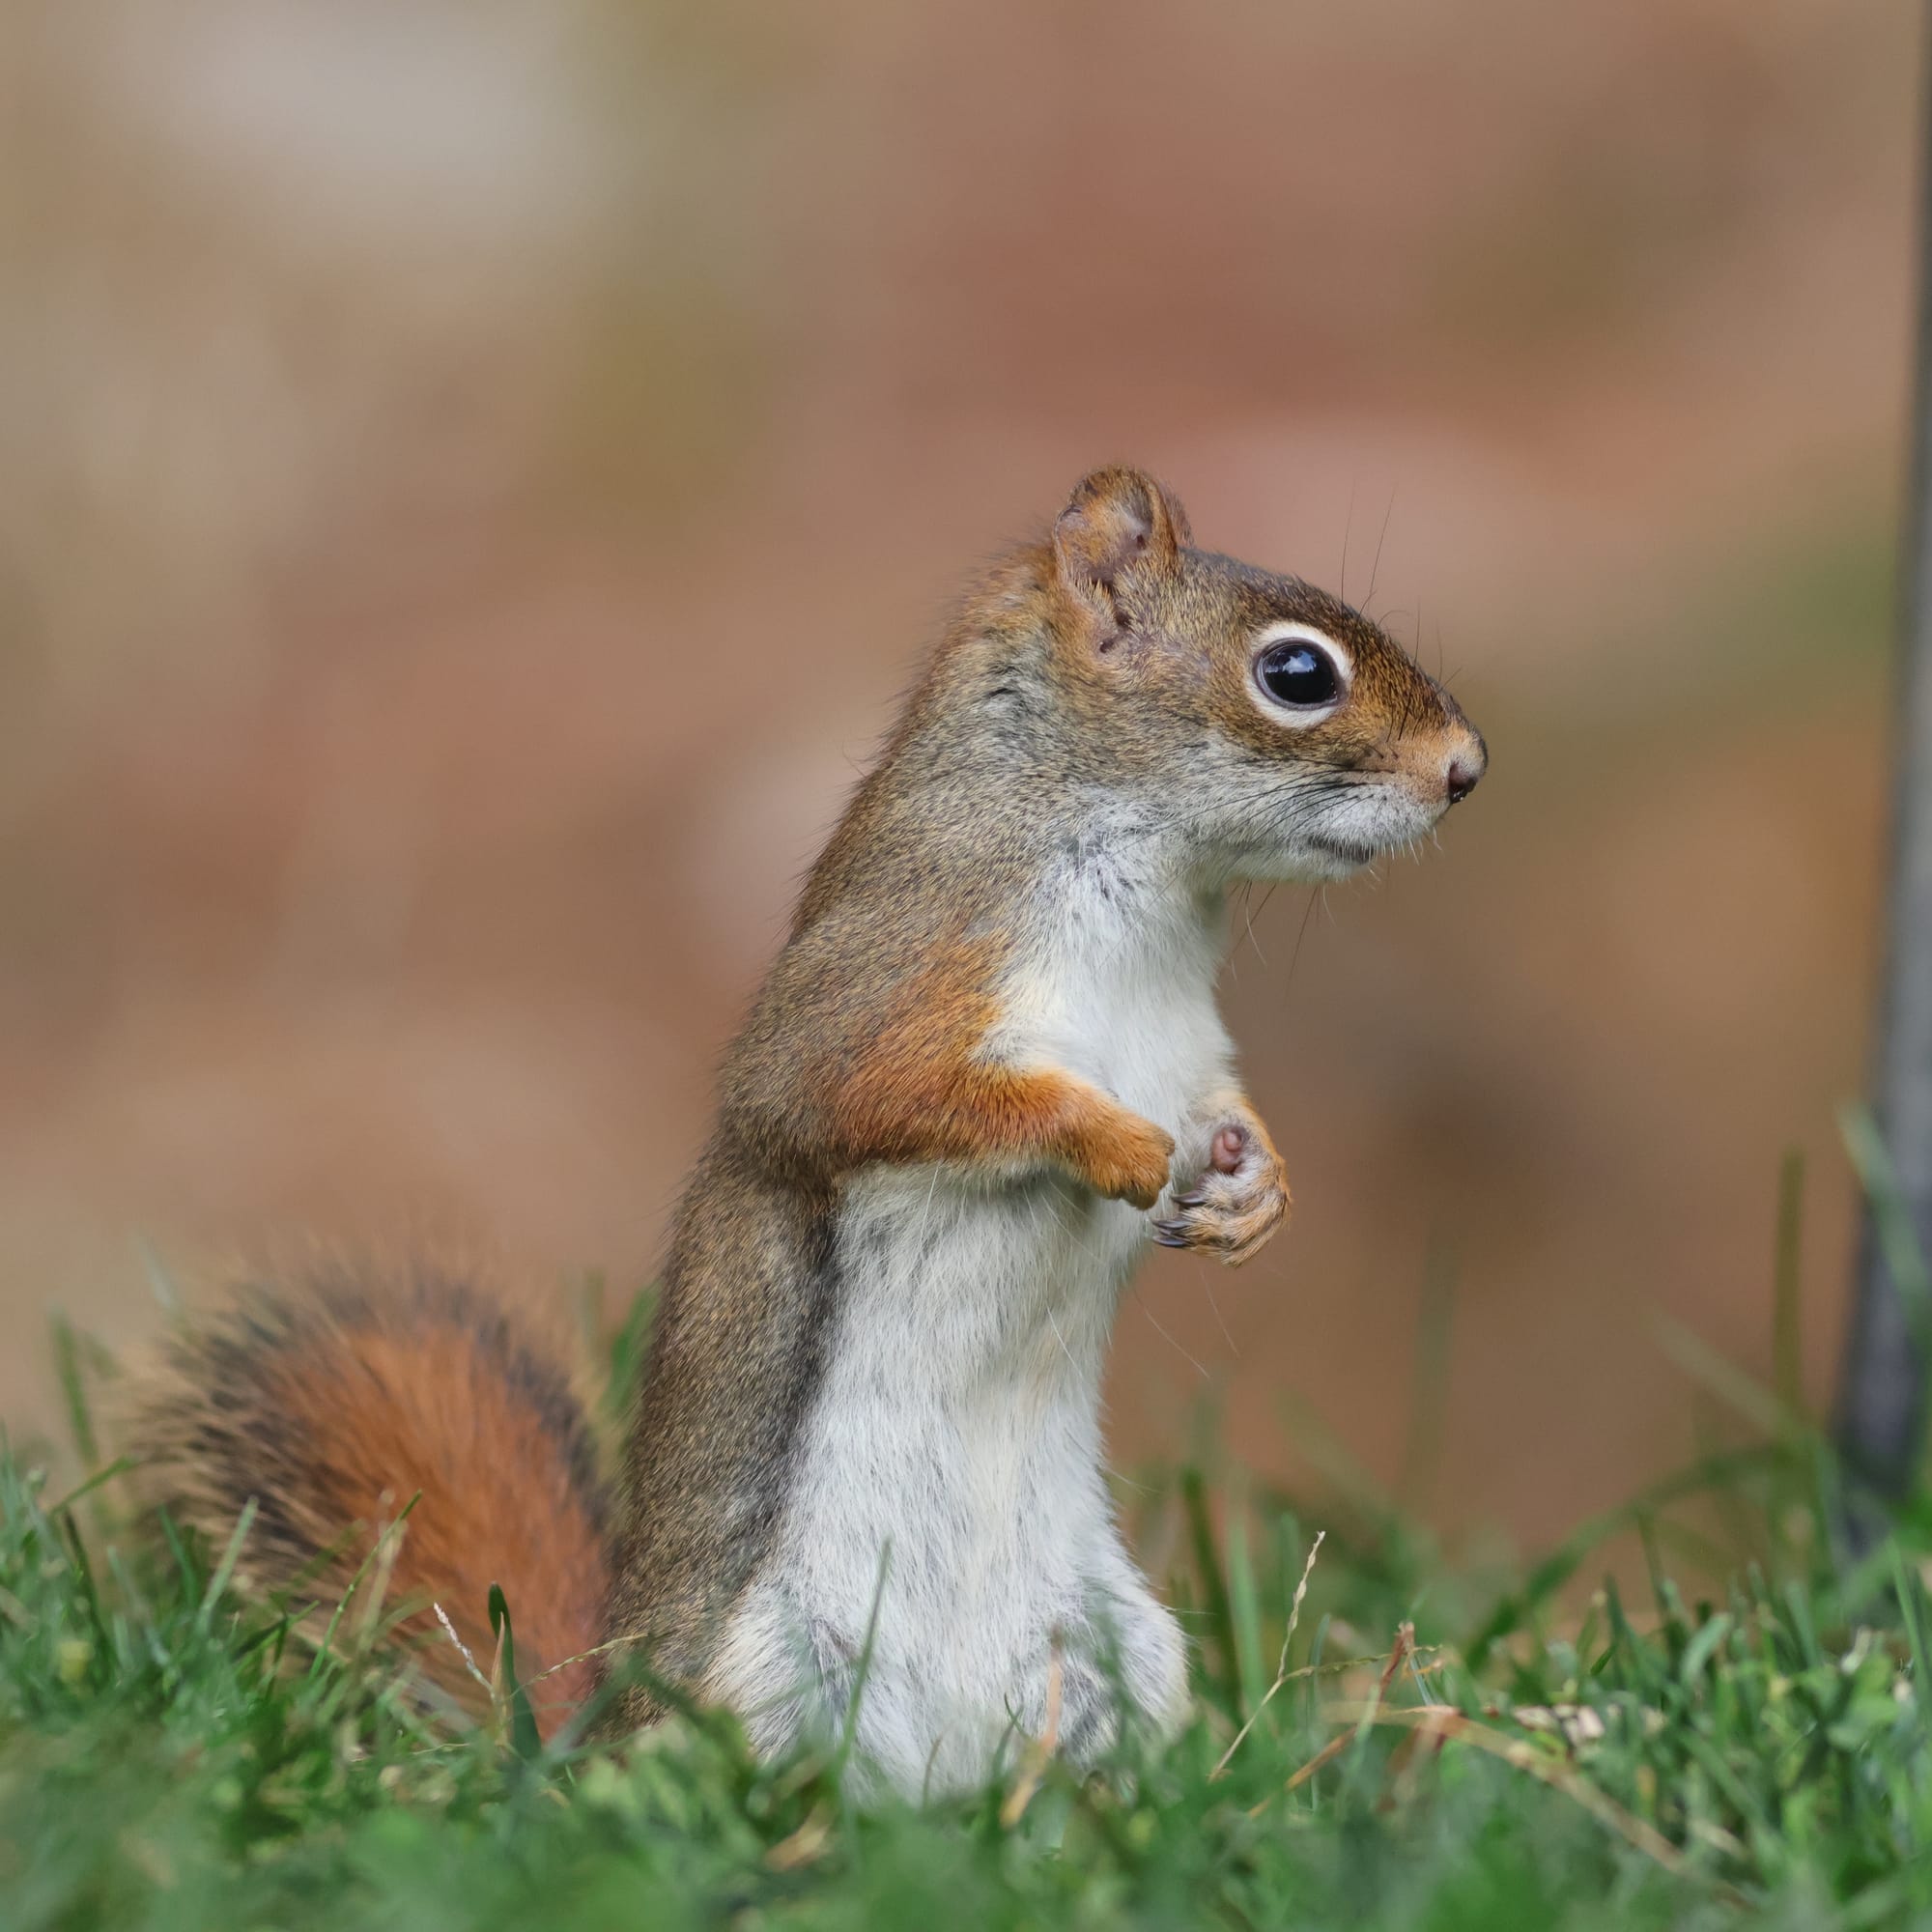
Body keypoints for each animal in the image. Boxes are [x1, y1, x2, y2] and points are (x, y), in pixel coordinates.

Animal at [133, 466, 1485, 1794]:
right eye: (1295, 673)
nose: (1467, 767)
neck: (1145, 898)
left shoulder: (1188, 1054)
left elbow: (1222, 1115)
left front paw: (1255, 1195)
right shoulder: (887, 987)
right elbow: (886, 1096)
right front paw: (1112, 1143)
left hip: (1112, 1655)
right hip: (768, 1670)